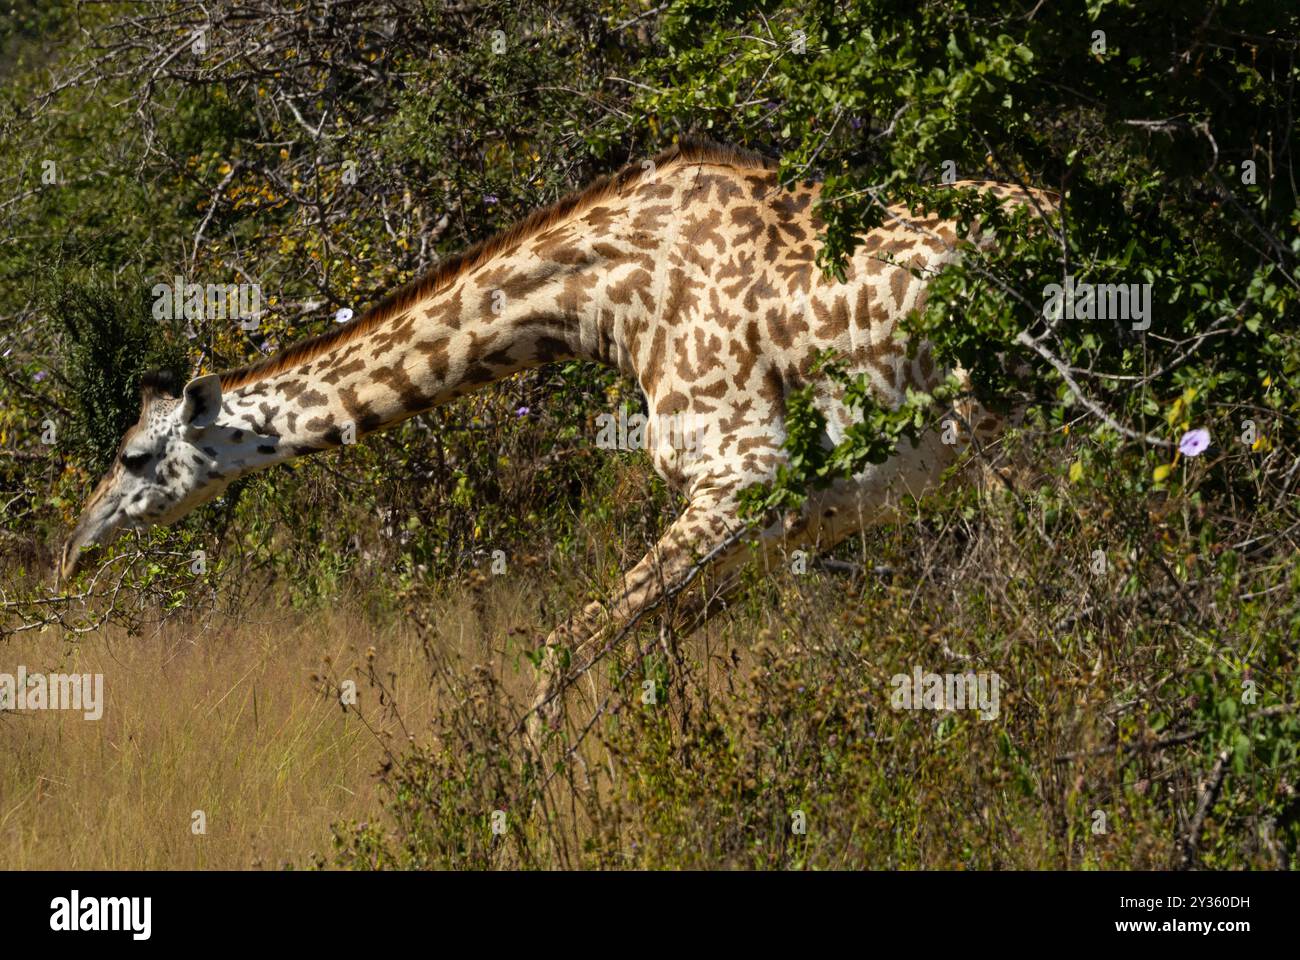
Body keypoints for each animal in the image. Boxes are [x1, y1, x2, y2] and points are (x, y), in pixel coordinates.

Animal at [58, 140, 1055, 738]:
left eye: (133, 456)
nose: (73, 549)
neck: (608, 306)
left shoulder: (747, 479)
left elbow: (565, 644)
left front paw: (540, 806)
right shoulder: (782, 525)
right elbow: (648, 659)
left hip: (1016, 434)